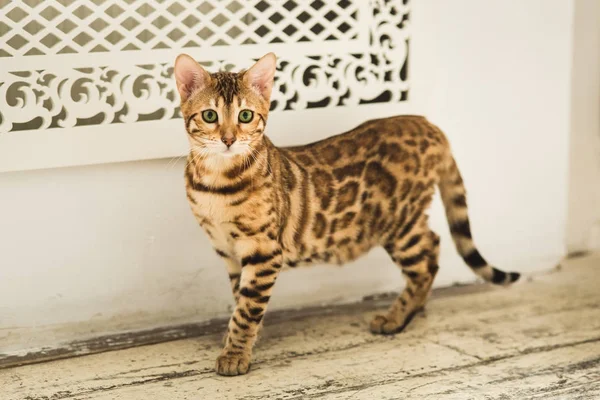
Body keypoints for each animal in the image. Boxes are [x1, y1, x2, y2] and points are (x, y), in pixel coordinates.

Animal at [173, 52, 520, 376]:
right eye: (209, 115)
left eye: (245, 115)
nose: (229, 139)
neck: (216, 181)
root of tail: (428, 124)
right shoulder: (229, 250)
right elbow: (240, 298)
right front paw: (241, 340)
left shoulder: (263, 250)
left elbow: (247, 309)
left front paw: (235, 355)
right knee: (432, 245)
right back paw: (416, 309)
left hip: (399, 223)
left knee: (427, 258)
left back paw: (396, 317)